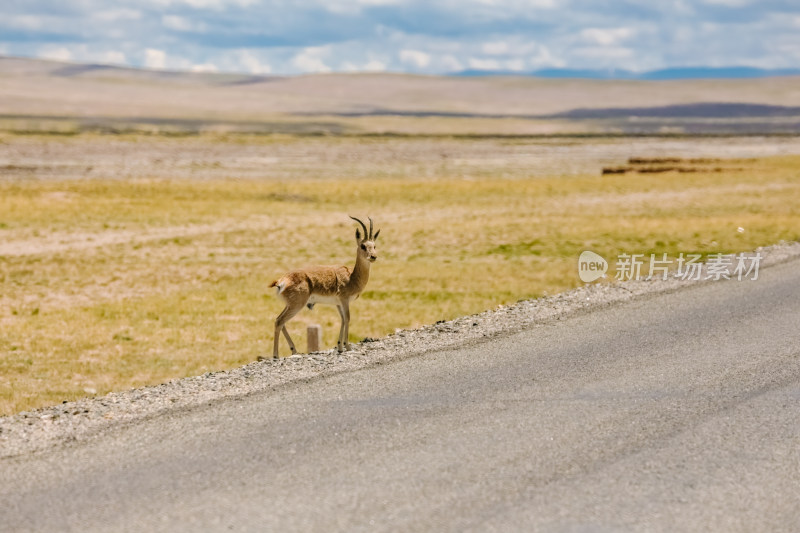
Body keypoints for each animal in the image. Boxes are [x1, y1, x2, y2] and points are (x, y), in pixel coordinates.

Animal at [268, 215, 380, 358]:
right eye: (363, 246)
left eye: (374, 245)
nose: (373, 256)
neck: (352, 277)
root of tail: (282, 281)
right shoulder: (344, 300)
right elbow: (348, 318)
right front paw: (348, 347)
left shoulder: (338, 303)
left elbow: (342, 319)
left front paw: (340, 347)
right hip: (297, 305)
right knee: (279, 321)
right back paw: (276, 355)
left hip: (290, 305)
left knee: (280, 321)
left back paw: (294, 350)